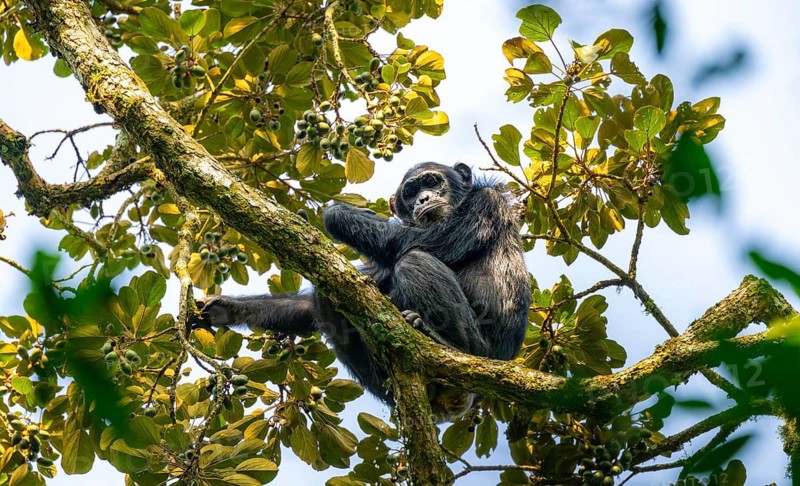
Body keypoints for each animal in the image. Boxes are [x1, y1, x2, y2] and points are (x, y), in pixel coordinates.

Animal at [195, 162, 531, 421]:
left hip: (484, 353)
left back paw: (444, 341)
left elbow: (419, 242)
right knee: (327, 299)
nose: (423, 198)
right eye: (410, 192)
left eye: (432, 181)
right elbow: (325, 301)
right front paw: (226, 308)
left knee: (415, 260)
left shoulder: (484, 205)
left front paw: (330, 214)